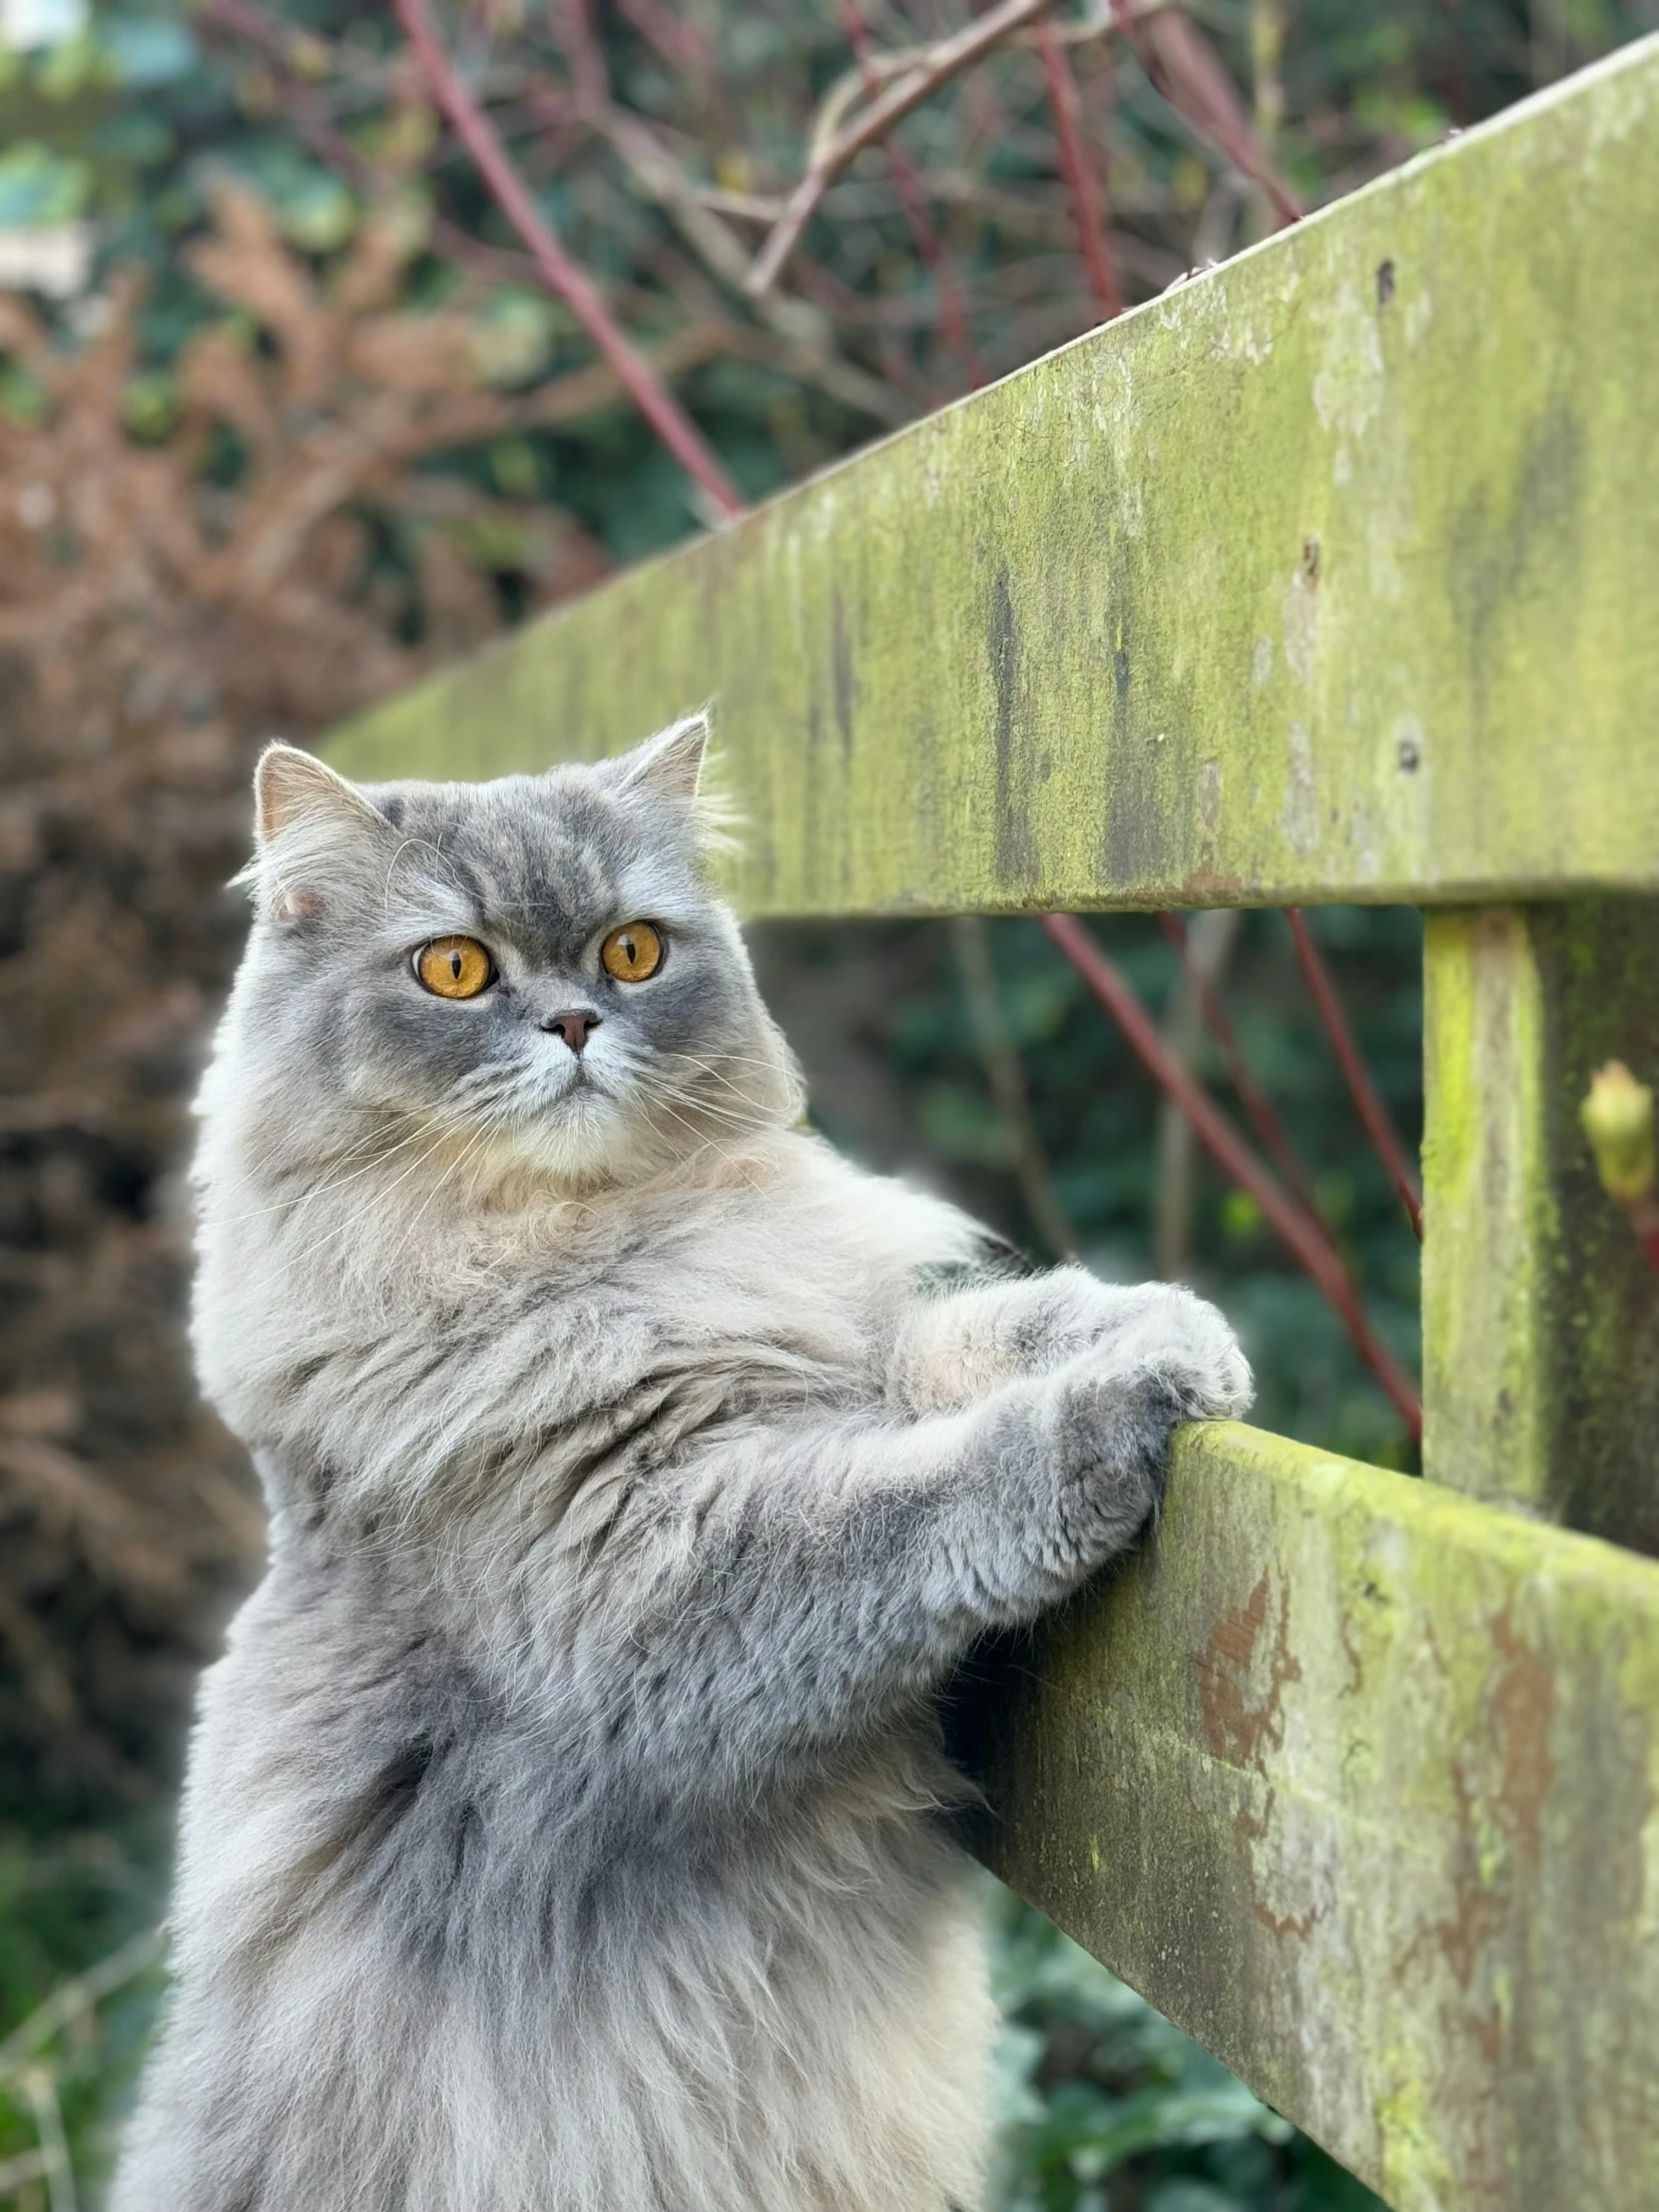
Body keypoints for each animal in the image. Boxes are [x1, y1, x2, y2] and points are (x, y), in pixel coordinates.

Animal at [114, 716, 1247, 2203]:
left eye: (634, 951)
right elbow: (935, 1490)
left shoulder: (836, 1360)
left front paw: (1169, 1328)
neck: (611, 1247)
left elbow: (989, 1329)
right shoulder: (657, 1588)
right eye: (456, 968)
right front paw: (1117, 1407)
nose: (576, 1024)